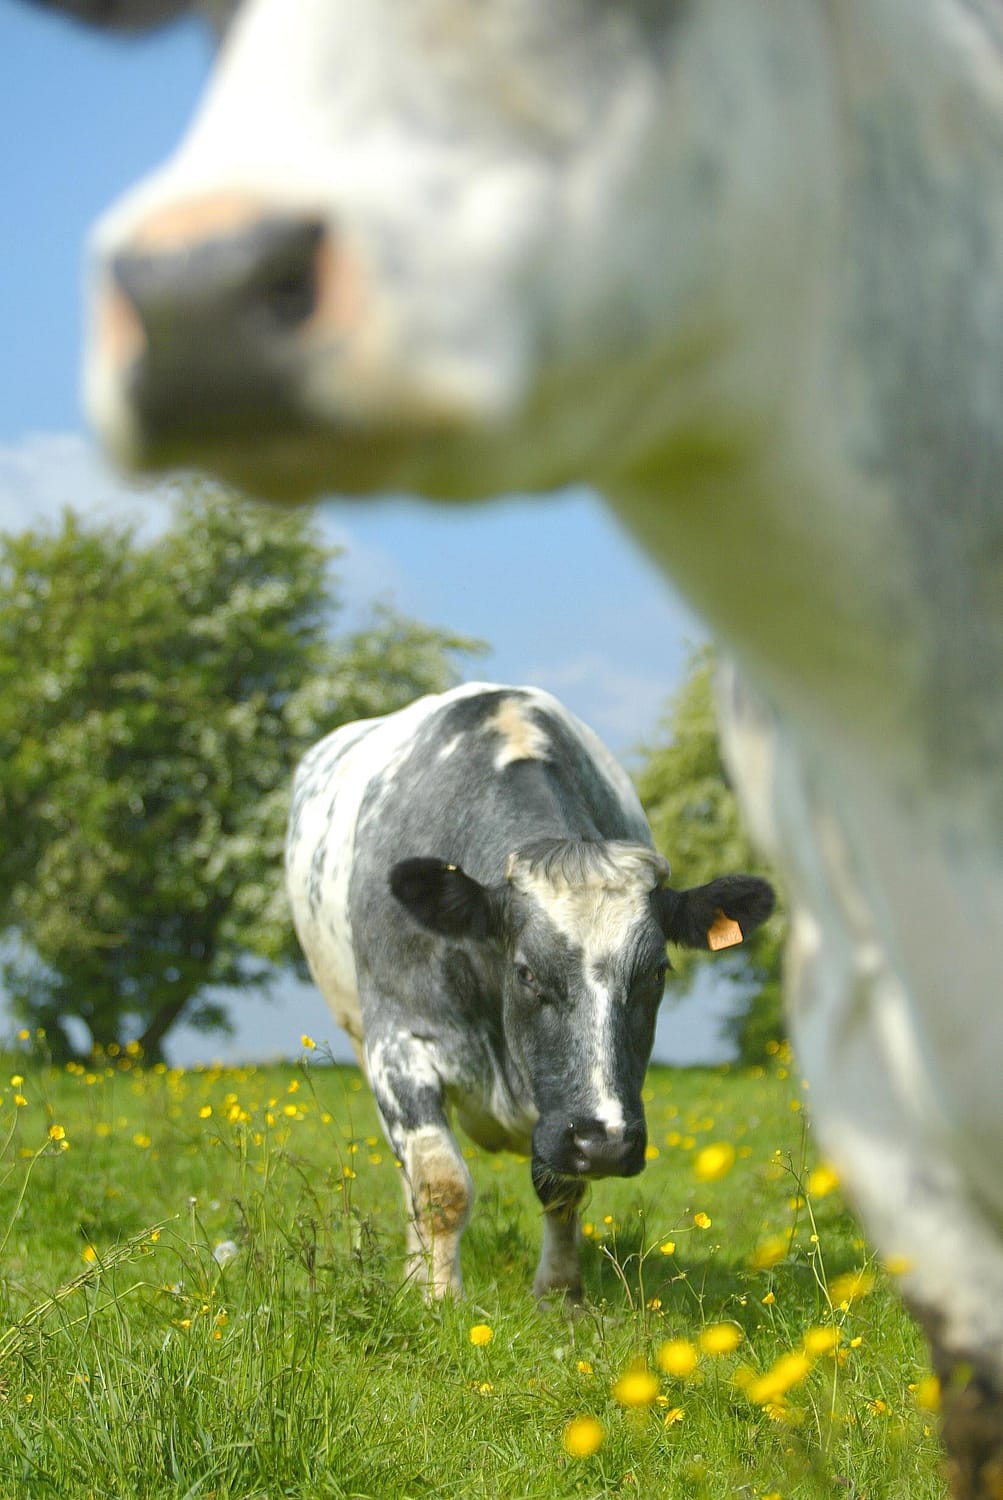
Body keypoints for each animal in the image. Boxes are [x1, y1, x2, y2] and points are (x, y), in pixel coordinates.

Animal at [284, 684, 773, 1302]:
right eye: (526, 973)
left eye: (658, 973)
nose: (607, 1143)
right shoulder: (399, 1040)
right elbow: (440, 1184)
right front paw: (439, 1297)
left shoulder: (560, 1107)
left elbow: (560, 1188)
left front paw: (560, 1294)